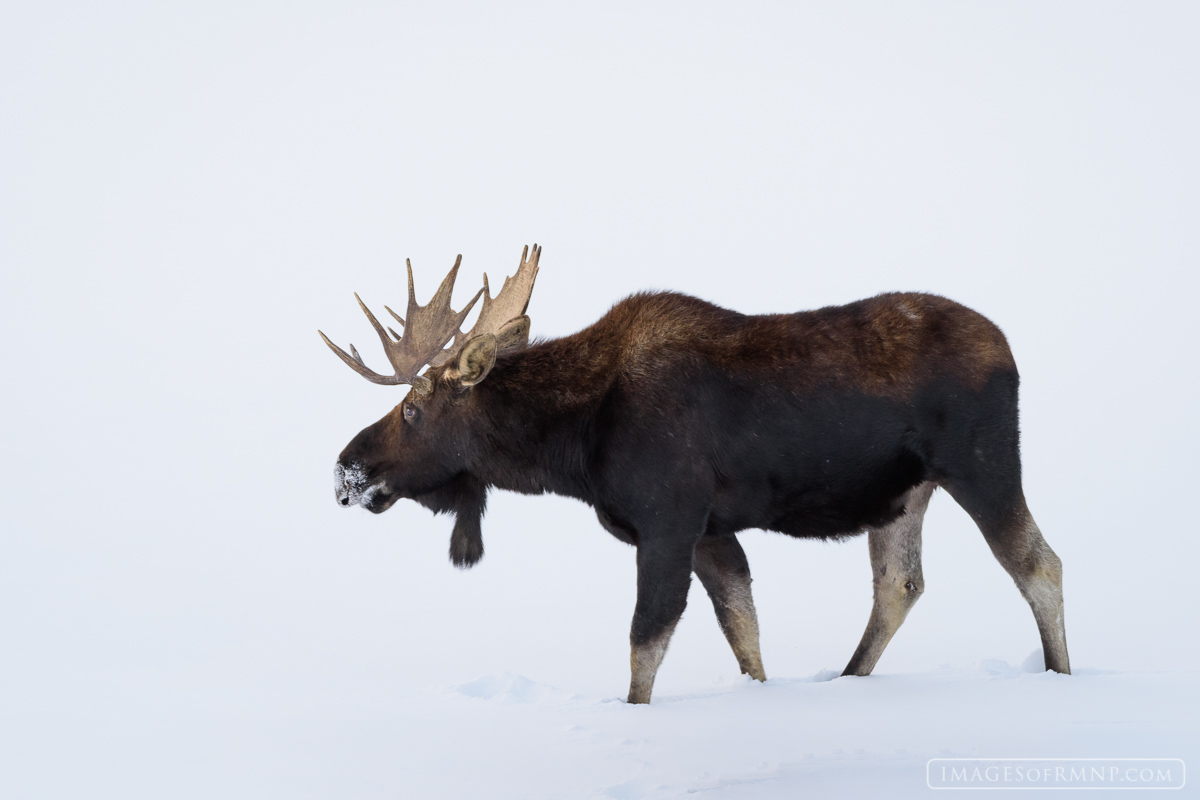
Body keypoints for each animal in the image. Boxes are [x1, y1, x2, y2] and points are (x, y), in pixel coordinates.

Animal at [316, 247, 1070, 705]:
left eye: (413, 409)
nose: (345, 470)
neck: (573, 446)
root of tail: (1010, 349)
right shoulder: (710, 531)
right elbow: (744, 632)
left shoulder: (669, 519)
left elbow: (645, 642)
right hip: (906, 493)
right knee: (899, 585)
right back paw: (847, 680)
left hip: (982, 463)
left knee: (1038, 562)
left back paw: (1061, 677)